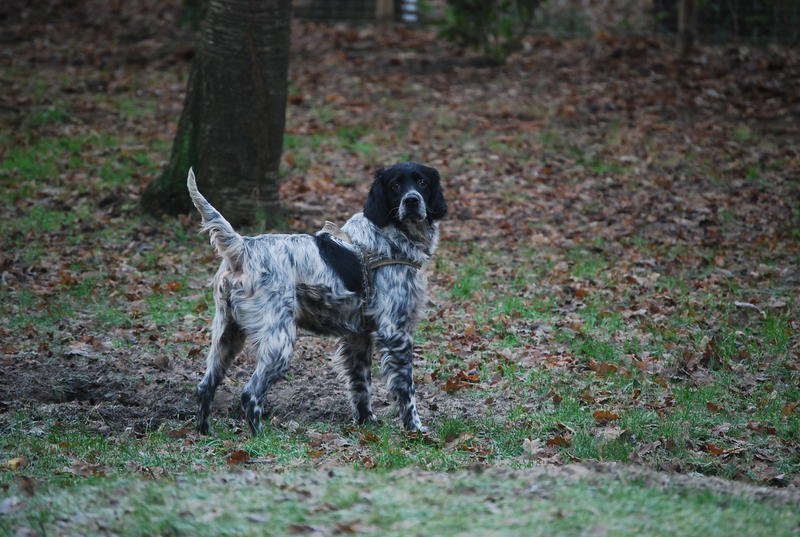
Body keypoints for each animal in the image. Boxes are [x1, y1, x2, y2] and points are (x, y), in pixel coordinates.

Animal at [190, 163, 446, 436]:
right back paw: (261, 438)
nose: (412, 201)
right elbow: (406, 390)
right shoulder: (394, 331)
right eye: (396, 185)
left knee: (205, 386)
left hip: (227, 336)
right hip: (279, 341)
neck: (390, 237)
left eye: (422, 183)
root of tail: (242, 247)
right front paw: (415, 429)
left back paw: (205, 433)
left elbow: (361, 385)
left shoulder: (359, 336)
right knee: (250, 395)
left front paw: (366, 422)